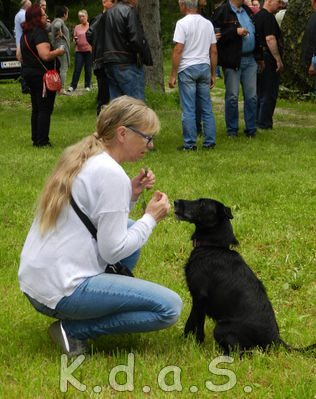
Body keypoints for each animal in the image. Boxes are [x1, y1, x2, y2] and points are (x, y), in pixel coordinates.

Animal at [174, 200, 314, 356]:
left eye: (202, 204)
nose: (175, 201)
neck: (213, 247)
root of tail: (276, 340)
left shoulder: (199, 297)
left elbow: (193, 323)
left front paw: (191, 344)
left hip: (221, 328)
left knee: (242, 352)